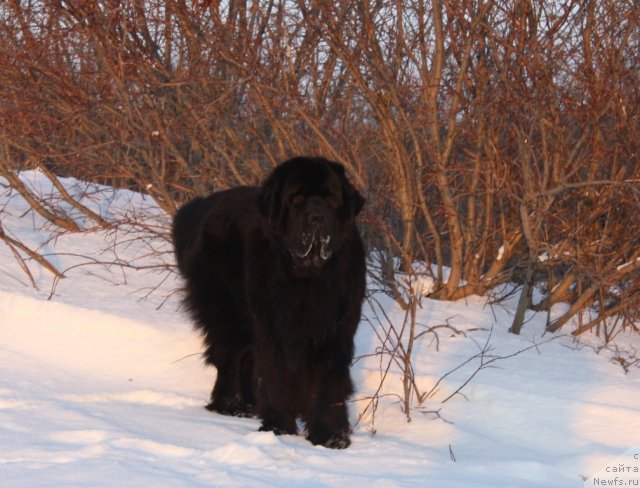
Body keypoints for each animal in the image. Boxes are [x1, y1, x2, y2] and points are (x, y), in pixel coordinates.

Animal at [172, 157, 364, 450]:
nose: (317, 218)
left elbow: (328, 382)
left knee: (247, 358)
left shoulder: (334, 331)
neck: (308, 277)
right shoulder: (276, 329)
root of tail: (206, 203)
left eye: (331, 198)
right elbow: (278, 373)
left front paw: (330, 436)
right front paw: (279, 427)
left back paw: (251, 403)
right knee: (230, 356)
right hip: (231, 312)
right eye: (297, 199)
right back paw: (230, 405)